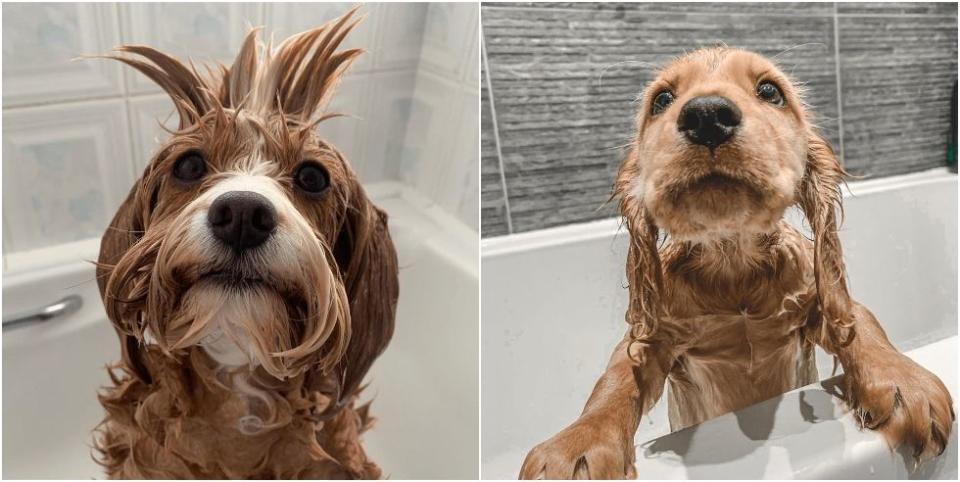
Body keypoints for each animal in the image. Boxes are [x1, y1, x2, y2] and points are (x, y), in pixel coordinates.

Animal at [516, 48, 952, 478]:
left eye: (770, 91)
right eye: (661, 100)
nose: (707, 115)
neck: (733, 266)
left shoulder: (819, 309)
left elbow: (863, 325)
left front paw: (903, 383)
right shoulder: (655, 342)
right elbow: (616, 378)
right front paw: (577, 443)